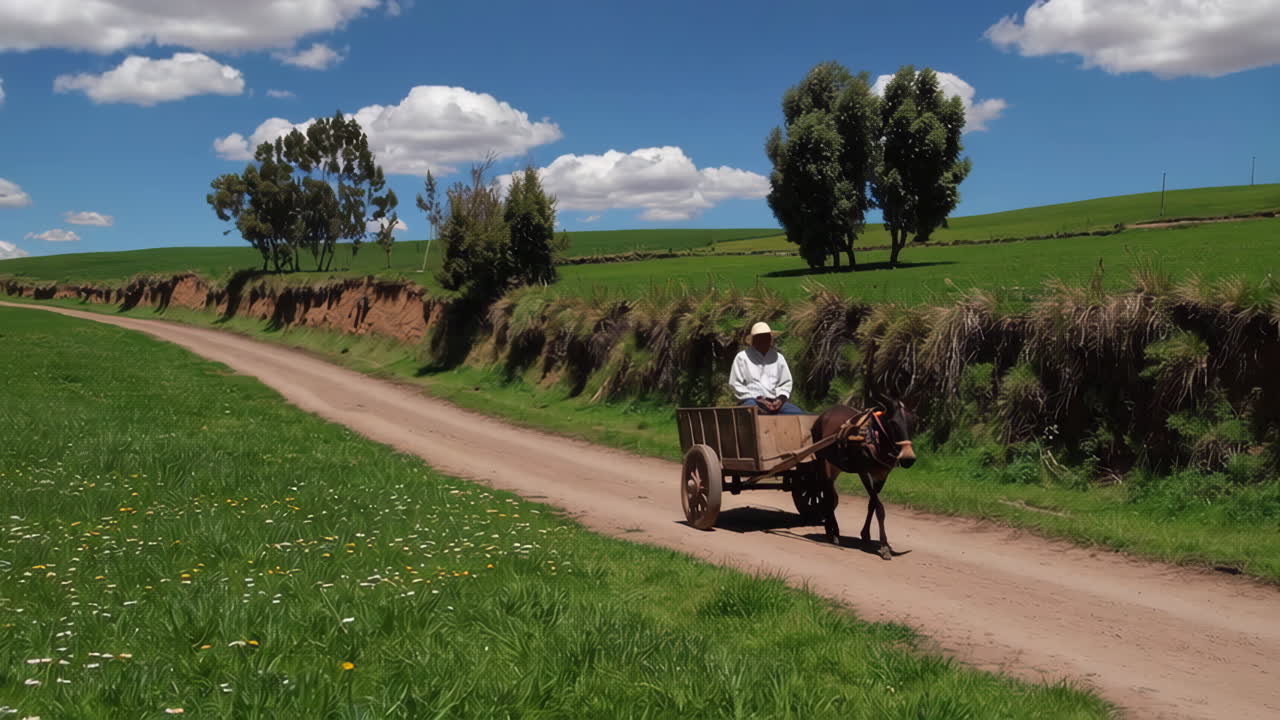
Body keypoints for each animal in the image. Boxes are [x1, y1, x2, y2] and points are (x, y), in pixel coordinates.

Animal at [808, 400, 916, 559]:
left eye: (912, 423)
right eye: (893, 423)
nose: (908, 459)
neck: (876, 439)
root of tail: (823, 415)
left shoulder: (882, 475)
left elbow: (872, 504)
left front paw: (865, 535)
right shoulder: (863, 472)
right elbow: (879, 508)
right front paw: (884, 545)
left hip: (835, 465)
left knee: (830, 494)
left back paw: (831, 529)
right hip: (822, 459)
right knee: (827, 494)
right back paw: (832, 531)